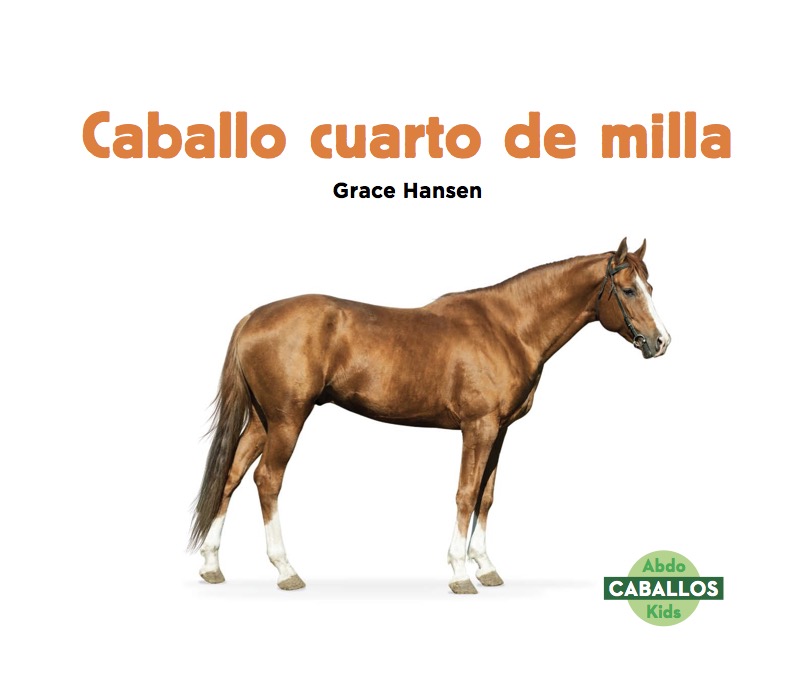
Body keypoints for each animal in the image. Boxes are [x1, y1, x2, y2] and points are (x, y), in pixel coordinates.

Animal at [190, 238, 670, 594]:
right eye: (629, 290)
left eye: (651, 288)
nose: (661, 341)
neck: (508, 328)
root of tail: (253, 317)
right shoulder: (477, 428)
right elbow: (465, 494)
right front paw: (459, 573)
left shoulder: (499, 432)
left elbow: (486, 497)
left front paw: (486, 567)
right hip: (288, 419)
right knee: (267, 480)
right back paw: (286, 570)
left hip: (262, 420)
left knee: (231, 476)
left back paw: (212, 566)